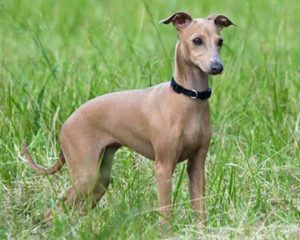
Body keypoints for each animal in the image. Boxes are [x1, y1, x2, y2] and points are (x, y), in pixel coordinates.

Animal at [22, 11, 234, 228]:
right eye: (197, 40)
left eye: (220, 41)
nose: (217, 67)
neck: (188, 98)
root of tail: (66, 123)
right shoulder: (164, 167)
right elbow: (166, 212)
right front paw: (167, 231)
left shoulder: (197, 165)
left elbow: (200, 209)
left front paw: (200, 230)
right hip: (86, 175)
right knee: (56, 208)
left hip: (100, 179)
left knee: (74, 208)